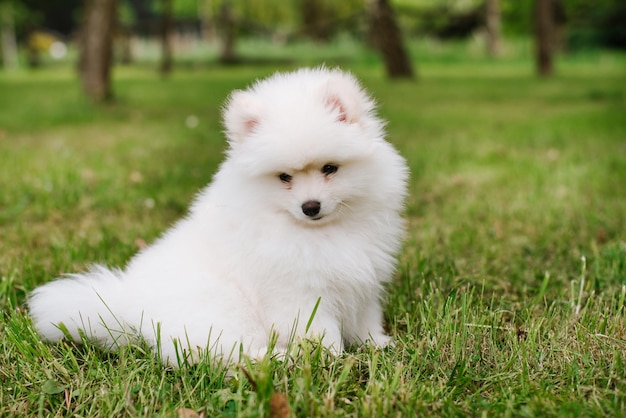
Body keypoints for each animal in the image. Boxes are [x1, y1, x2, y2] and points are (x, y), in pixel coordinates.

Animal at [28, 67, 410, 364]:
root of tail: (129, 307)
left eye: (330, 168)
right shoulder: (297, 292)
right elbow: (319, 329)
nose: (310, 206)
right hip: (223, 309)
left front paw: (377, 344)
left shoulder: (362, 279)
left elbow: (365, 319)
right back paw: (278, 358)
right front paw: (329, 359)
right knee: (227, 352)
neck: (319, 231)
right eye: (284, 177)